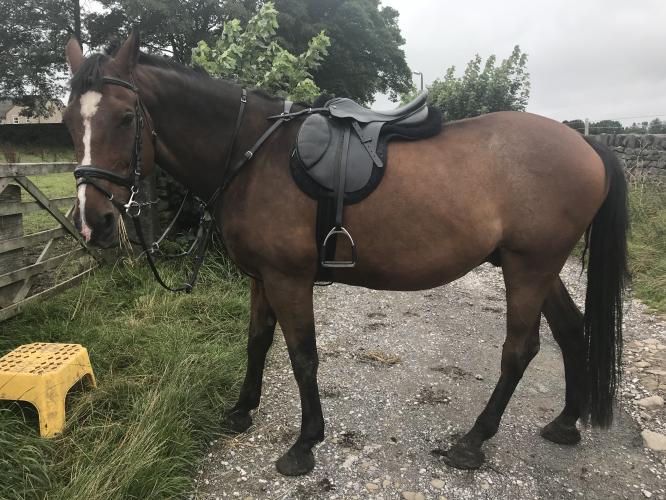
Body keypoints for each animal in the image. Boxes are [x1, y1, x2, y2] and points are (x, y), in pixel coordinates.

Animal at [62, 32, 628, 476]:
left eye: (126, 117)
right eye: (69, 122)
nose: (94, 222)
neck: (253, 152)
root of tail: (586, 144)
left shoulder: (288, 279)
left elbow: (302, 355)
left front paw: (304, 444)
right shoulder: (261, 278)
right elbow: (257, 342)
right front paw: (241, 411)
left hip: (529, 267)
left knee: (520, 350)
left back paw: (472, 442)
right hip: (535, 267)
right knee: (570, 330)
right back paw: (565, 423)